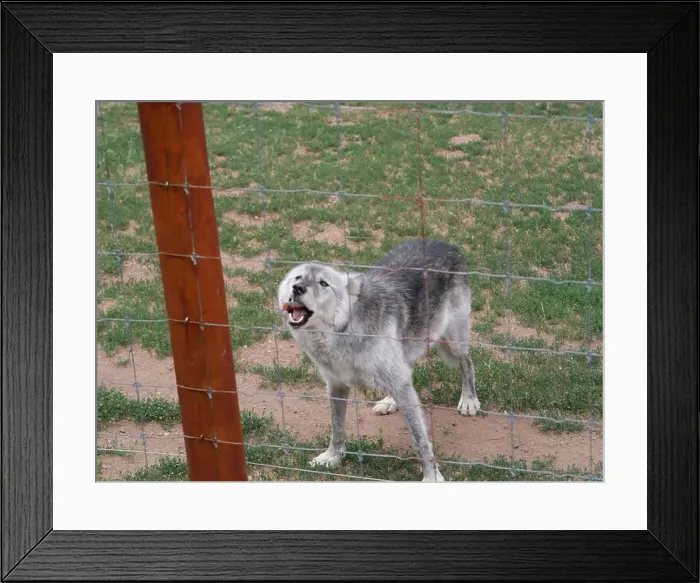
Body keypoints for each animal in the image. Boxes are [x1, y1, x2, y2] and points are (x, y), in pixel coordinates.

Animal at [276, 239, 479, 481]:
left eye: (323, 283)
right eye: (297, 278)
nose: (298, 288)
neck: (344, 333)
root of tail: (443, 242)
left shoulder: (396, 382)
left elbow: (419, 439)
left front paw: (432, 477)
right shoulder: (336, 385)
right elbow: (337, 428)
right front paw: (332, 457)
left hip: (454, 341)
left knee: (467, 363)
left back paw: (469, 400)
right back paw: (390, 402)